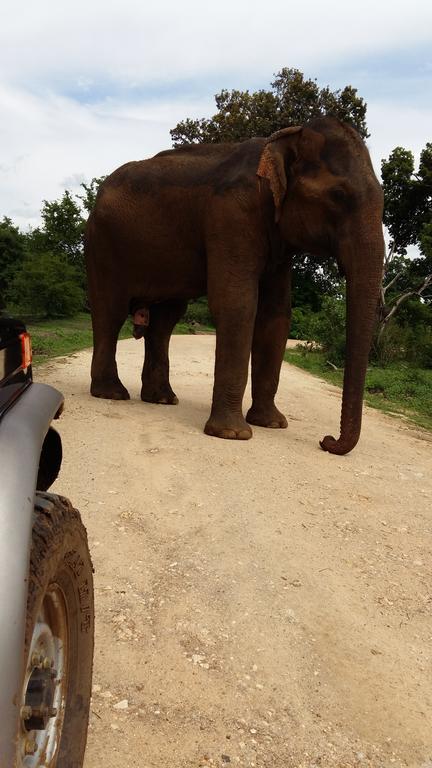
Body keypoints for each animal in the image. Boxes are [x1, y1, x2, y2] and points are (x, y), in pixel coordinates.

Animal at [85, 116, 384, 452]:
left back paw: (162, 399)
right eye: (338, 195)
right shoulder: (232, 215)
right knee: (110, 311)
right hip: (101, 244)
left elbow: (276, 315)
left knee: (165, 320)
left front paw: (272, 424)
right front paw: (233, 434)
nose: (326, 440)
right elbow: (237, 303)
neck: (278, 144)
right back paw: (112, 394)